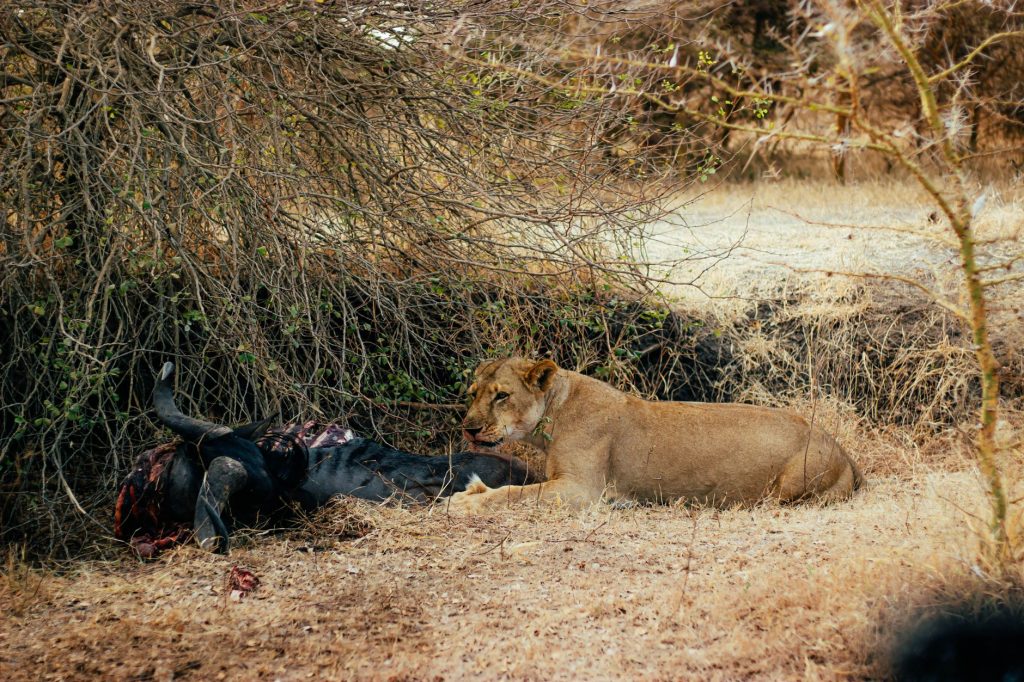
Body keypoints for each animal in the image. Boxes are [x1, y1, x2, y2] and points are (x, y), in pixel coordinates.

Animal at [448, 357, 862, 513]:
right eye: (473, 394)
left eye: (502, 396)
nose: (469, 428)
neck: (555, 410)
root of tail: (841, 449)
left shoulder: (582, 489)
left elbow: (514, 493)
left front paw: (466, 501)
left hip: (790, 486)